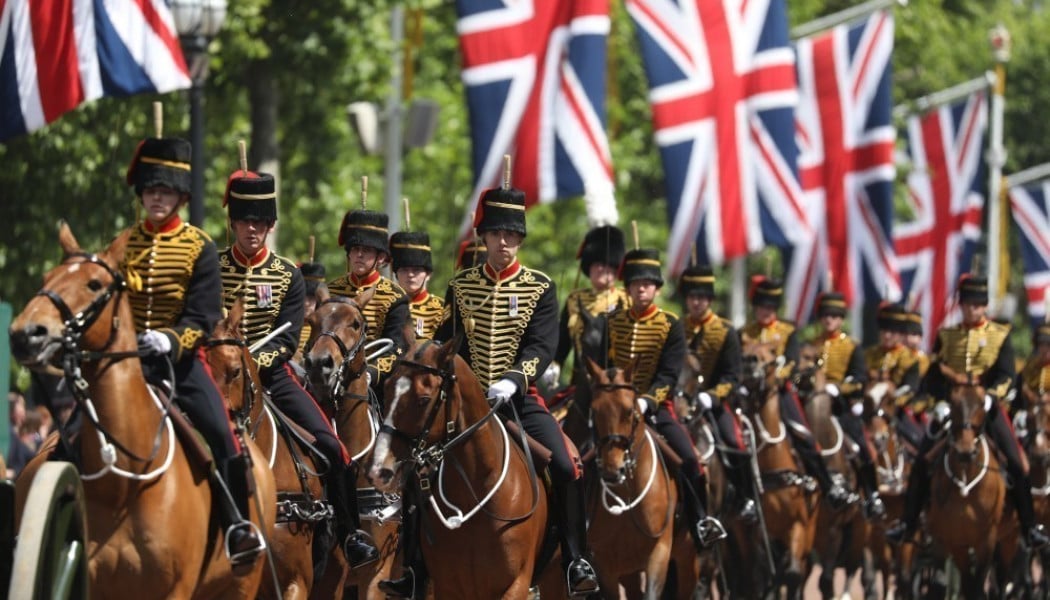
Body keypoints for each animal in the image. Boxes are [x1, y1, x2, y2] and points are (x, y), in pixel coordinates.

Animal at [8, 224, 277, 600]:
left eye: (94, 284)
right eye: (47, 277)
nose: (26, 333)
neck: (124, 481)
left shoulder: (174, 590)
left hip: (241, 584)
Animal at [369, 336, 554, 596]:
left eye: (424, 399)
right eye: (387, 388)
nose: (379, 470)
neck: (474, 492)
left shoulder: (516, 584)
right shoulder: (447, 587)